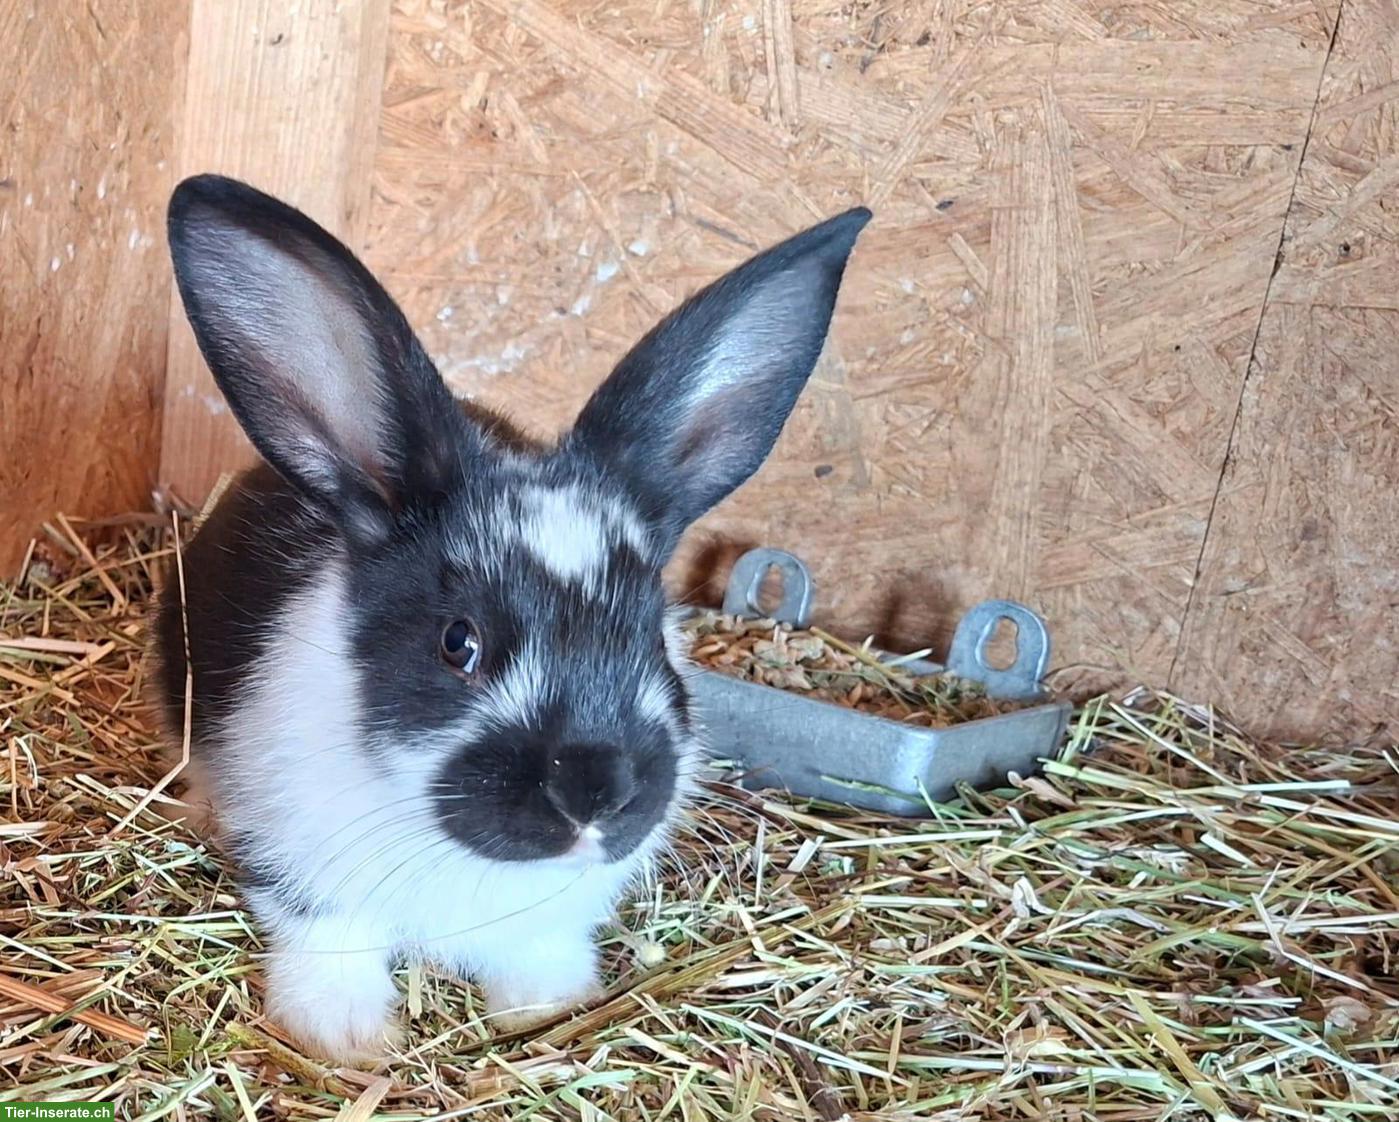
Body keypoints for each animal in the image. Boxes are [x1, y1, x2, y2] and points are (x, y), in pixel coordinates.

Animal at [150, 172, 870, 1062]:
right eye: (458, 643)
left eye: (651, 639)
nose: (595, 796)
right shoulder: (306, 877)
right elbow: (328, 943)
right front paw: (349, 1039)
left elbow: (537, 957)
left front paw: (545, 1006)